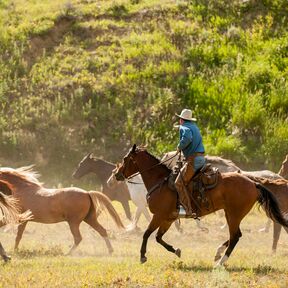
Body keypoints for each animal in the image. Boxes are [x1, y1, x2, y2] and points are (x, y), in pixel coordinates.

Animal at [113, 145, 286, 266]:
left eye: (125, 159)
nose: (117, 175)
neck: (160, 181)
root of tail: (253, 183)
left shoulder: (159, 215)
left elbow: (147, 234)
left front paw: (142, 256)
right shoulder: (168, 218)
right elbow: (158, 237)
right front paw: (176, 250)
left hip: (234, 215)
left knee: (235, 236)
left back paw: (220, 262)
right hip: (231, 214)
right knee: (235, 235)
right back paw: (218, 253)